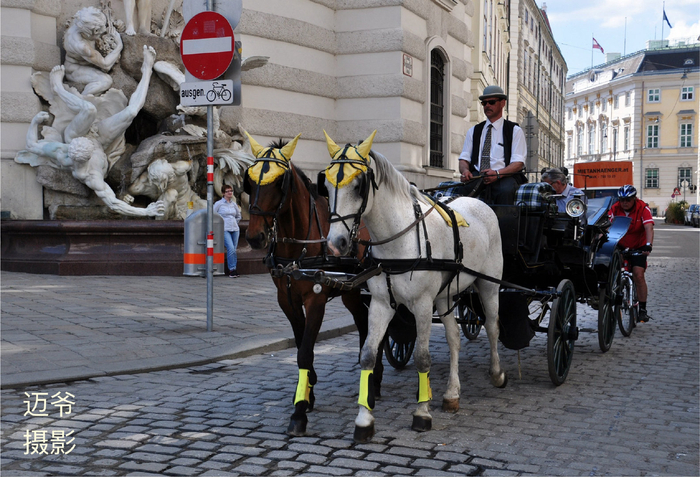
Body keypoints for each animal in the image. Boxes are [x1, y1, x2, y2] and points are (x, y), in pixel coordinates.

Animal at [242, 131, 384, 437]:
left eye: (278, 182)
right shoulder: (287, 299)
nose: (255, 237)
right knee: (364, 323)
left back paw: (375, 380)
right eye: (250, 181)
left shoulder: (316, 298)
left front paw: (298, 412)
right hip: (350, 293)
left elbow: (305, 351)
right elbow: (299, 343)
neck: (299, 246)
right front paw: (307, 392)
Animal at [322, 130, 507, 443]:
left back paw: (496, 373)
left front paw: (422, 413)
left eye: (358, 186)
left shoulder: (421, 304)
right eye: (325, 184)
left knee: (493, 327)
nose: (336, 244)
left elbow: (422, 358)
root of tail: (482, 203)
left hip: (488, 285)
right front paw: (364, 420)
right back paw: (451, 394)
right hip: (445, 296)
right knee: (454, 338)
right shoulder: (380, 305)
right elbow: (368, 355)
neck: (401, 240)